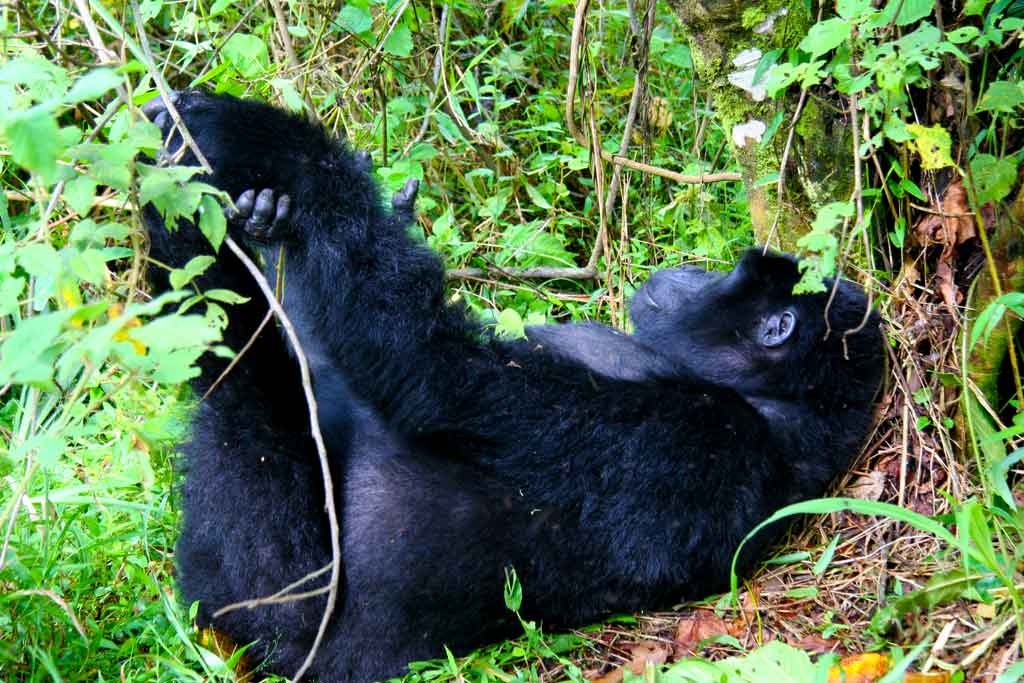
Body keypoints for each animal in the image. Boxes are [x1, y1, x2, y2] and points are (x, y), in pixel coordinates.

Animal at [140, 92, 884, 683]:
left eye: (727, 273)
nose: (684, 271)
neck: (784, 406)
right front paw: (274, 211)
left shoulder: (689, 436)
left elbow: (429, 367)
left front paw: (264, 142)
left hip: (277, 622)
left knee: (245, 411)